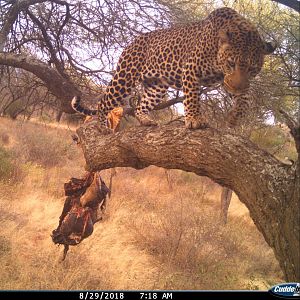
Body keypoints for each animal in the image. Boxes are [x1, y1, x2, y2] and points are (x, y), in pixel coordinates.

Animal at [71, 7, 276, 129]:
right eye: (231, 63)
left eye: (253, 69)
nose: (235, 88)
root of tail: (133, 41)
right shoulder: (192, 69)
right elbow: (192, 96)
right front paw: (194, 119)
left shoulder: (230, 81)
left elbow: (245, 100)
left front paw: (234, 117)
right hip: (125, 76)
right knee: (104, 102)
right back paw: (102, 126)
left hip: (156, 86)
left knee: (140, 106)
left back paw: (146, 120)